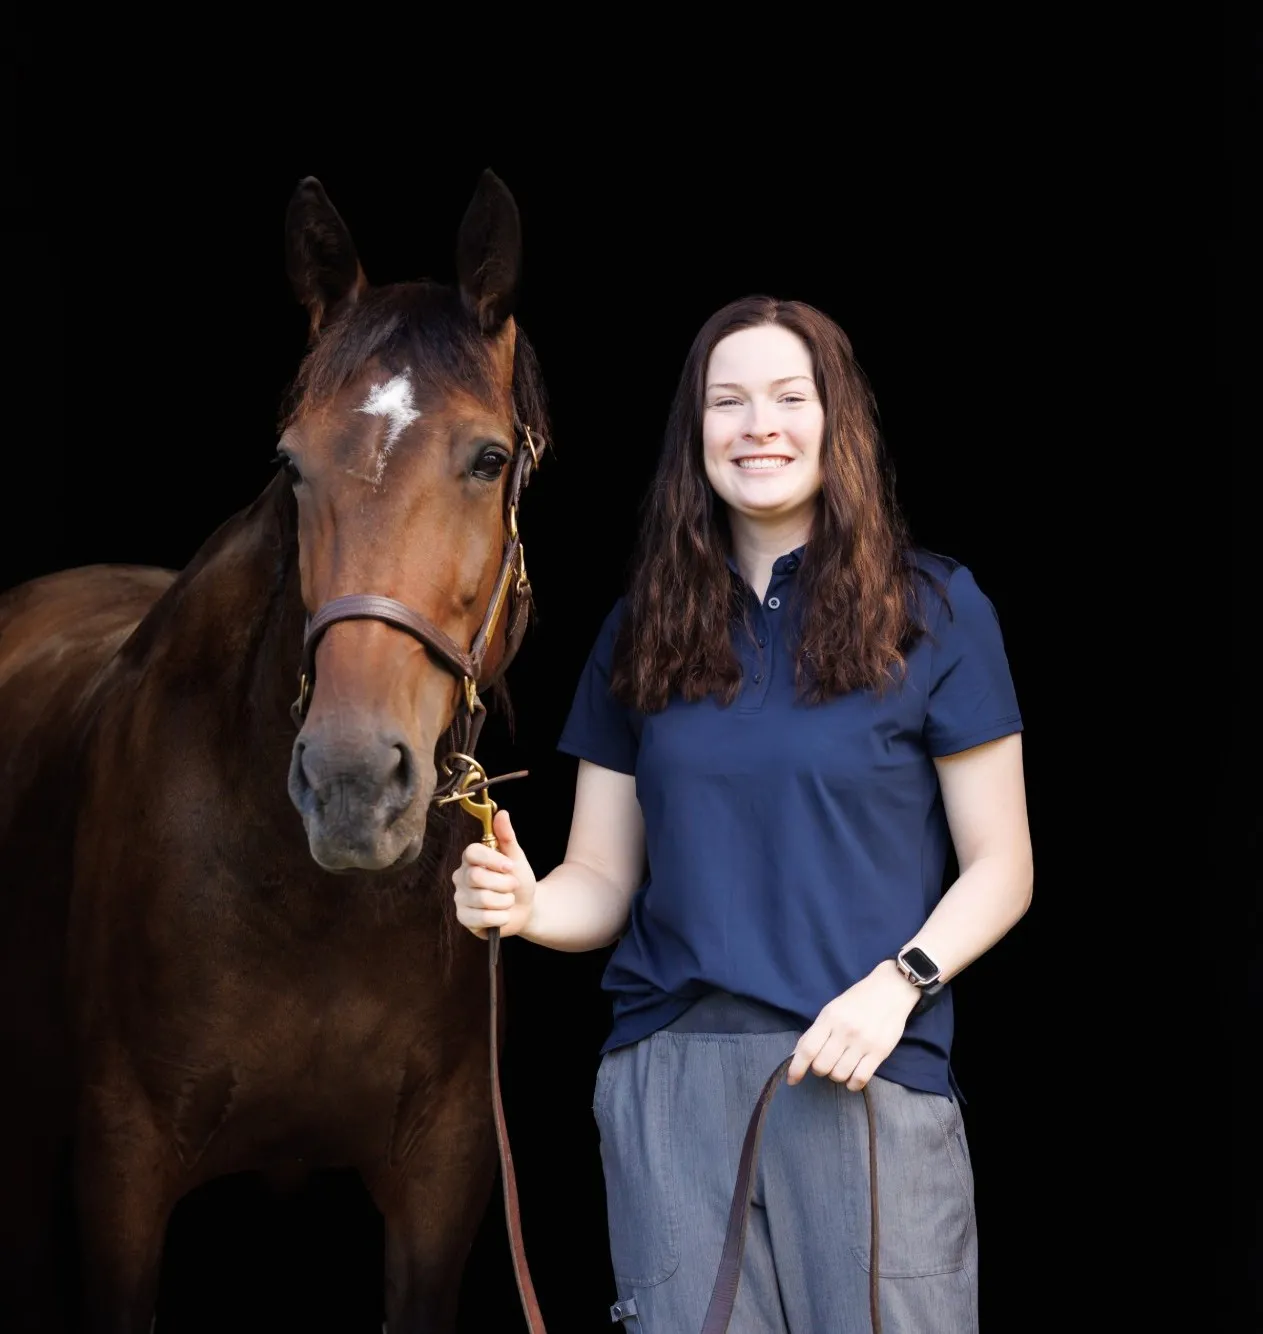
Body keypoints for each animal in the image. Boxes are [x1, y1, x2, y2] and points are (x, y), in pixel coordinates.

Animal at [0, 168, 548, 1333]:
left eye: (488, 458)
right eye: (291, 463)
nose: (351, 784)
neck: (316, 910)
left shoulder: (446, 1174)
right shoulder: (121, 1169)